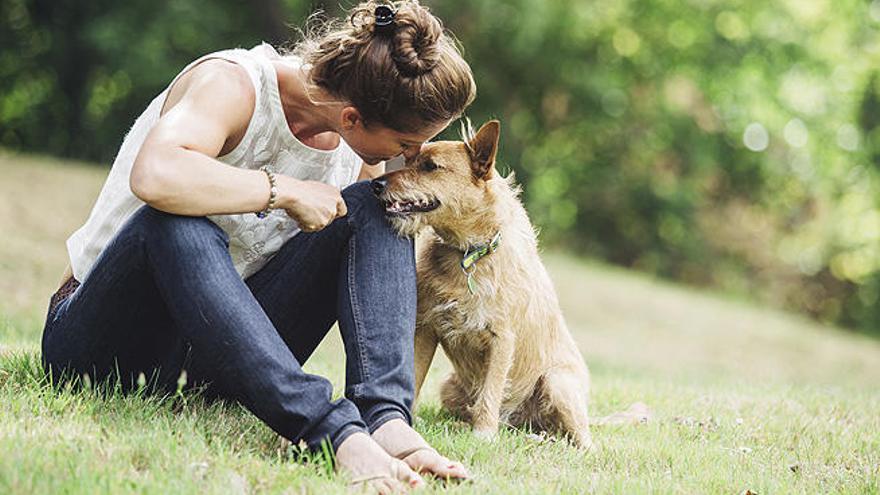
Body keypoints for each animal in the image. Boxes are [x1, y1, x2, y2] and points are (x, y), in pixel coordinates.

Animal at [370, 120, 592, 450]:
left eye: (430, 166)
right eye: (409, 160)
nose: (375, 185)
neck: (468, 254)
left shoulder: (502, 340)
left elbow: (491, 391)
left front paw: (484, 434)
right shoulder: (425, 329)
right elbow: (416, 375)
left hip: (557, 383)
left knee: (583, 442)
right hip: (449, 386)